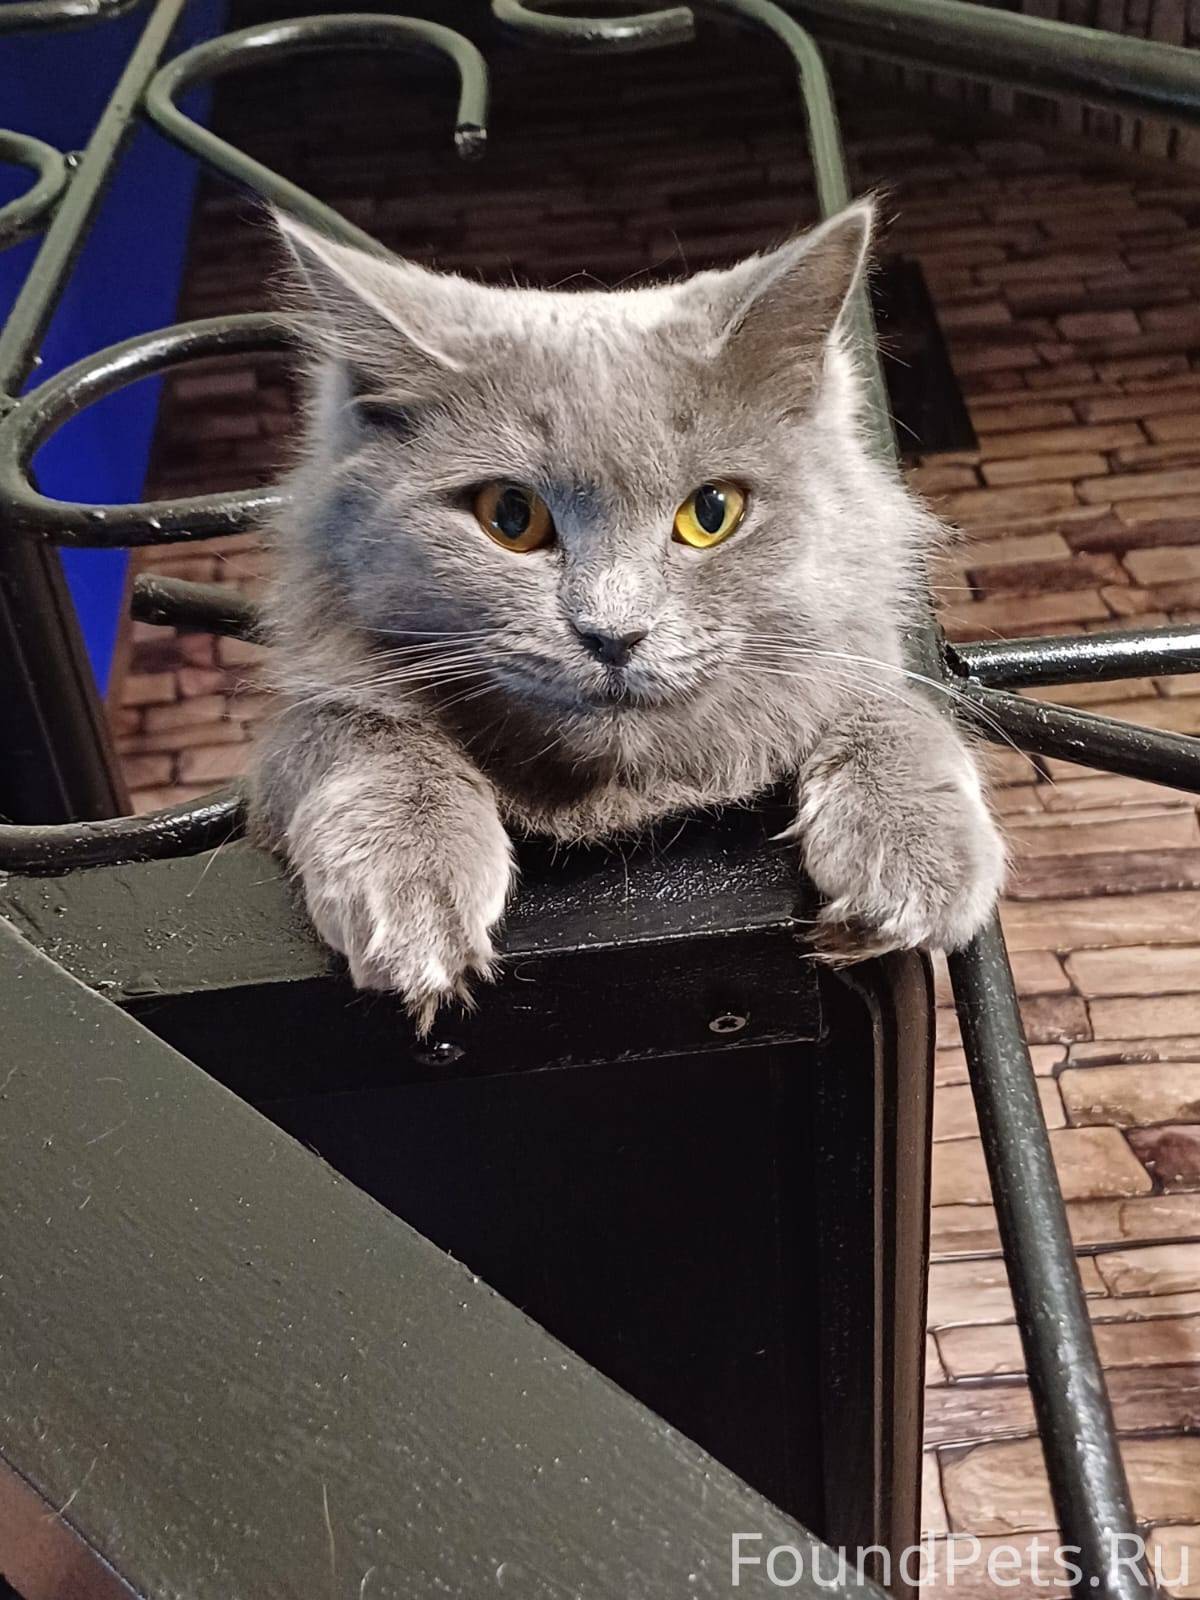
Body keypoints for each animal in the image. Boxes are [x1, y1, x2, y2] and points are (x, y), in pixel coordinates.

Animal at [249, 202, 1006, 1031]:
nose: (613, 635)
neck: (626, 798)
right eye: (509, 515)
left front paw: (914, 861)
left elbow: (890, 709)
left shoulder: (853, 649)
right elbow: (361, 733)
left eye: (712, 512)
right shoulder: (290, 744)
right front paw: (413, 893)